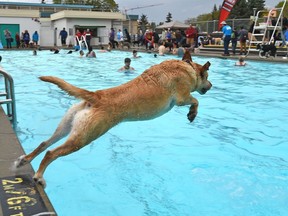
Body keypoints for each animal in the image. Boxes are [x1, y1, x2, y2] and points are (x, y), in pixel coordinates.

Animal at [15, 51, 212, 187]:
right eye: (208, 77)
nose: (211, 85)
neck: (188, 68)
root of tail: (95, 96)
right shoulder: (182, 98)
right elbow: (196, 100)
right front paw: (192, 113)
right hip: (84, 137)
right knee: (51, 152)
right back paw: (39, 176)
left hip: (67, 127)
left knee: (44, 144)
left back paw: (24, 160)